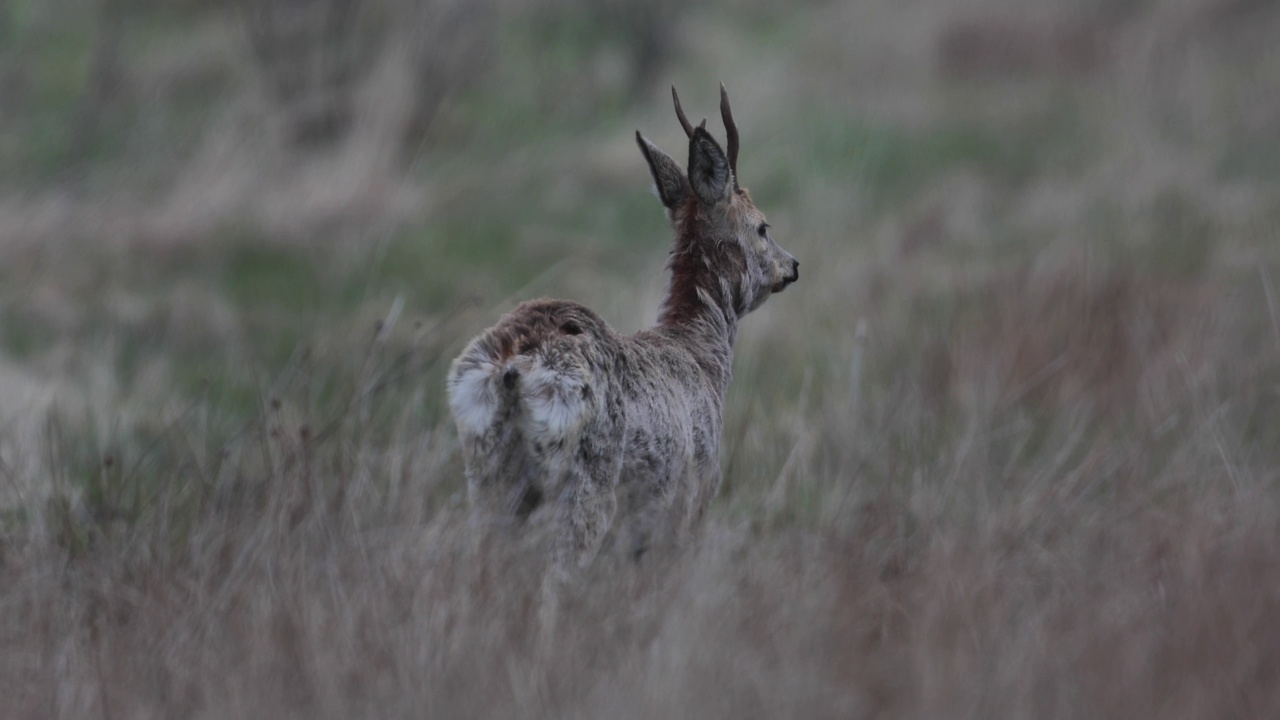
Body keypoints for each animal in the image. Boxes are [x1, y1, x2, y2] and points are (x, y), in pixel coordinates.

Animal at [445, 83, 793, 566]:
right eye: (762, 226)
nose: (792, 266)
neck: (701, 356)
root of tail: (512, 367)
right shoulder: (692, 498)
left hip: (486, 473)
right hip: (587, 481)